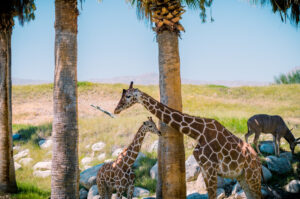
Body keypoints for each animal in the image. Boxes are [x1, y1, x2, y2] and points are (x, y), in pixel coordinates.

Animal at [113, 81, 262, 199]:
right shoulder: (204, 169)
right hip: (242, 177)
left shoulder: (211, 169)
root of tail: (258, 160)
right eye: (121, 95)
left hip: (253, 177)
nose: (116, 110)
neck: (198, 133)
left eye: (128, 96)